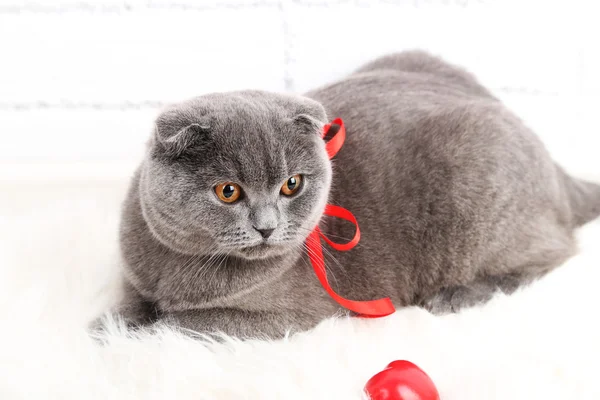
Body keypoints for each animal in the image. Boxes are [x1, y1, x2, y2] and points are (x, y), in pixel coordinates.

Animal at [108, 49, 600, 338]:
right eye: (228, 192)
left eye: (291, 185)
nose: (267, 227)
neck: (177, 268)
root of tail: (555, 166)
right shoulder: (134, 275)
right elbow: (128, 303)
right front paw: (110, 324)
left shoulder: (283, 317)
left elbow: (176, 323)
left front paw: (132, 332)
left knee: (553, 252)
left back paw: (457, 295)